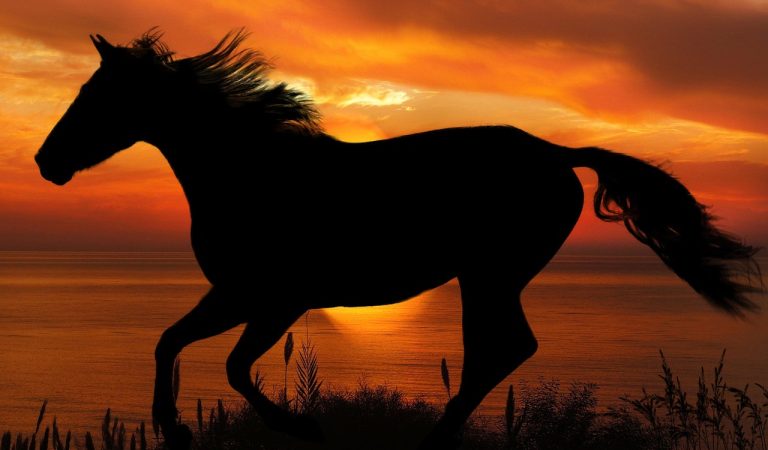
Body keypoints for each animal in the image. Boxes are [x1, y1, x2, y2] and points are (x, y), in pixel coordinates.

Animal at [35, 30, 762, 449]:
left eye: (95, 94)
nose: (46, 161)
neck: (252, 172)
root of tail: (555, 152)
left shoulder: (275, 299)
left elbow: (235, 367)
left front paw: (299, 424)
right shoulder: (236, 294)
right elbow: (169, 342)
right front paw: (174, 427)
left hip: (491, 273)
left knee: (501, 350)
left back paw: (434, 441)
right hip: (486, 277)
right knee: (496, 352)